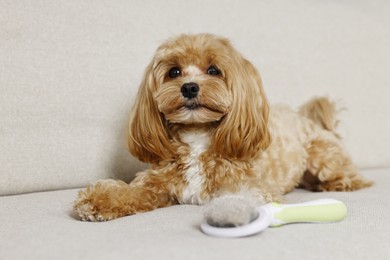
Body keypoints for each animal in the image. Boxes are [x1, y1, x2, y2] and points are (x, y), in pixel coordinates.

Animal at [74, 33, 372, 225]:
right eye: (174, 72)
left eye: (214, 70)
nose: (189, 87)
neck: (198, 136)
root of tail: (307, 119)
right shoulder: (156, 184)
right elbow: (130, 191)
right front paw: (99, 200)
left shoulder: (249, 184)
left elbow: (245, 195)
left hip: (324, 157)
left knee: (350, 175)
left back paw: (339, 183)